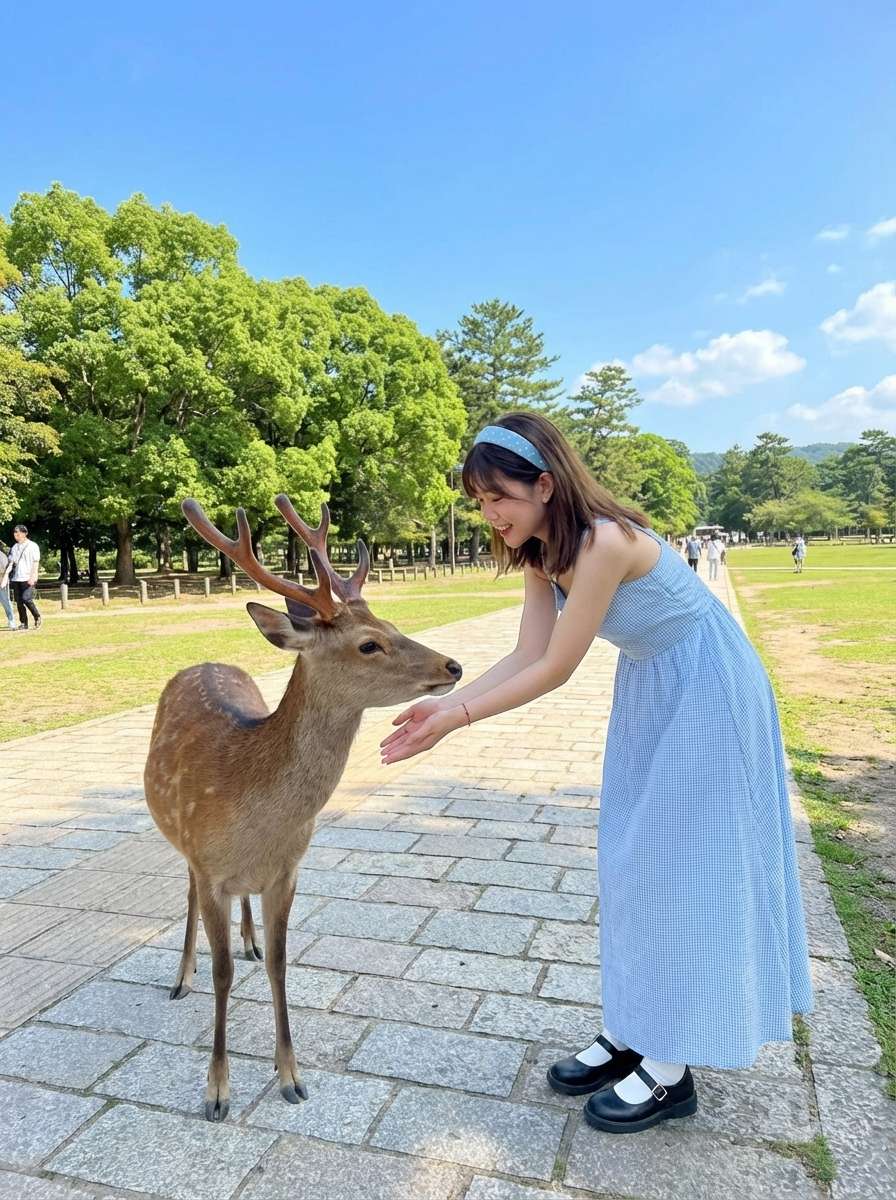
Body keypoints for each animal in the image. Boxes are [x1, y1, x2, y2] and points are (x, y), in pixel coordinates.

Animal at [144, 494, 462, 1121]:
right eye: (369, 643)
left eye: (393, 625)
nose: (452, 667)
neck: (252, 811)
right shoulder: (209, 863)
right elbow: (221, 973)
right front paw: (217, 1090)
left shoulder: (288, 870)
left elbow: (280, 962)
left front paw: (290, 1074)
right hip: (182, 841)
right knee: (186, 896)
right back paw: (181, 976)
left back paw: (246, 938)